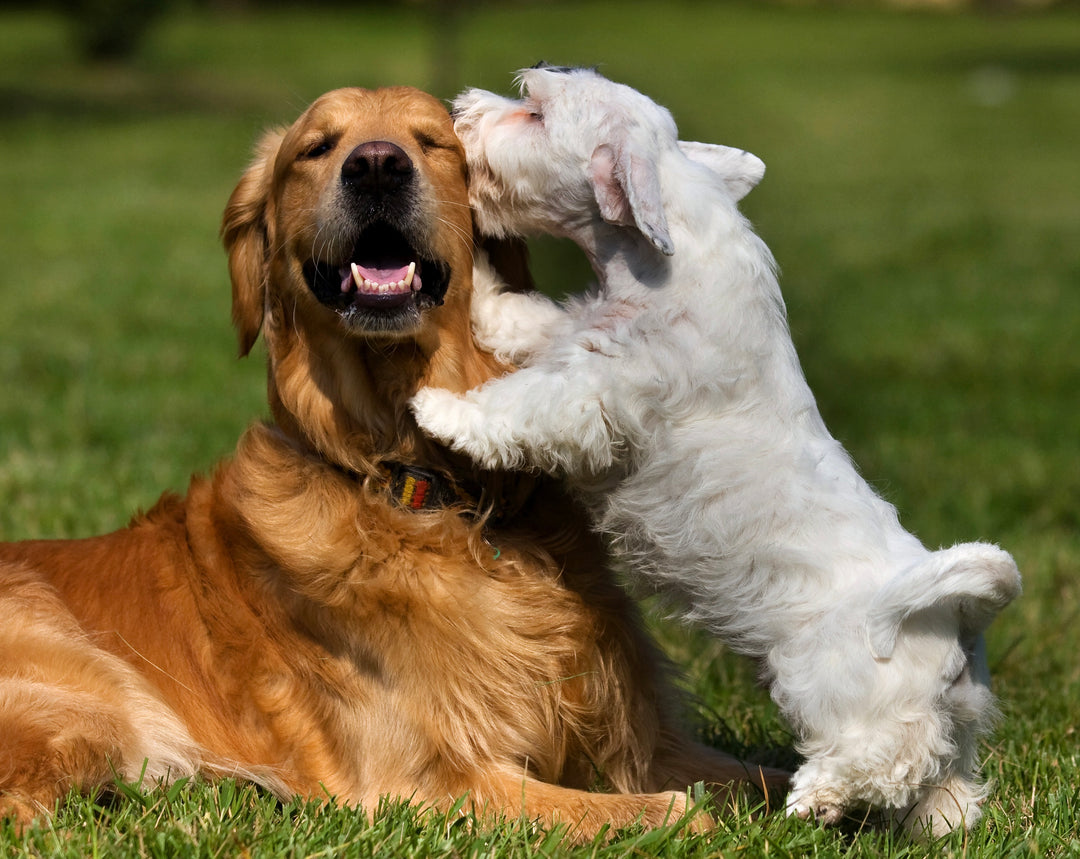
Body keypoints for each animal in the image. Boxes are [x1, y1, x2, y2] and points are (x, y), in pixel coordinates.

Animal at [408, 67, 1015, 838]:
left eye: (535, 109)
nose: (460, 110)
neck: (668, 261)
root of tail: (955, 616)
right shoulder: (570, 335)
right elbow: (523, 319)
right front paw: (483, 282)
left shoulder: (595, 395)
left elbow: (521, 407)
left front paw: (440, 410)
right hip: (954, 729)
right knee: (948, 787)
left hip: (834, 686)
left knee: (886, 754)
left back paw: (815, 796)